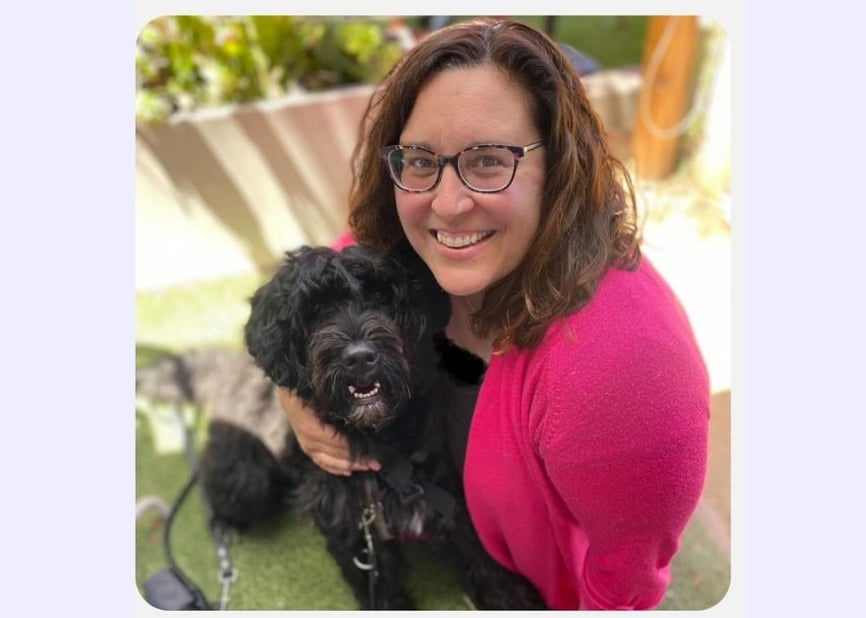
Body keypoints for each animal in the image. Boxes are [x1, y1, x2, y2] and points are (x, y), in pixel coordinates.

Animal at [137, 241, 540, 608]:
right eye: (315, 310)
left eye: (380, 296)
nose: (359, 358)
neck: (377, 447)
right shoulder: (353, 534)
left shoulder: (449, 503)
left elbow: (491, 573)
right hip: (246, 475)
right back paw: (225, 525)